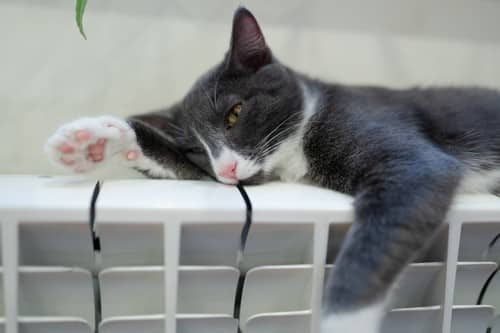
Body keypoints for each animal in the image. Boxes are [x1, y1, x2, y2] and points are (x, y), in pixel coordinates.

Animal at [44, 7, 500, 332]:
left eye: (234, 113)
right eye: (196, 149)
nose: (226, 168)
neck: (295, 149)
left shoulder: (411, 161)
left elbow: (376, 241)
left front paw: (343, 323)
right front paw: (92, 141)